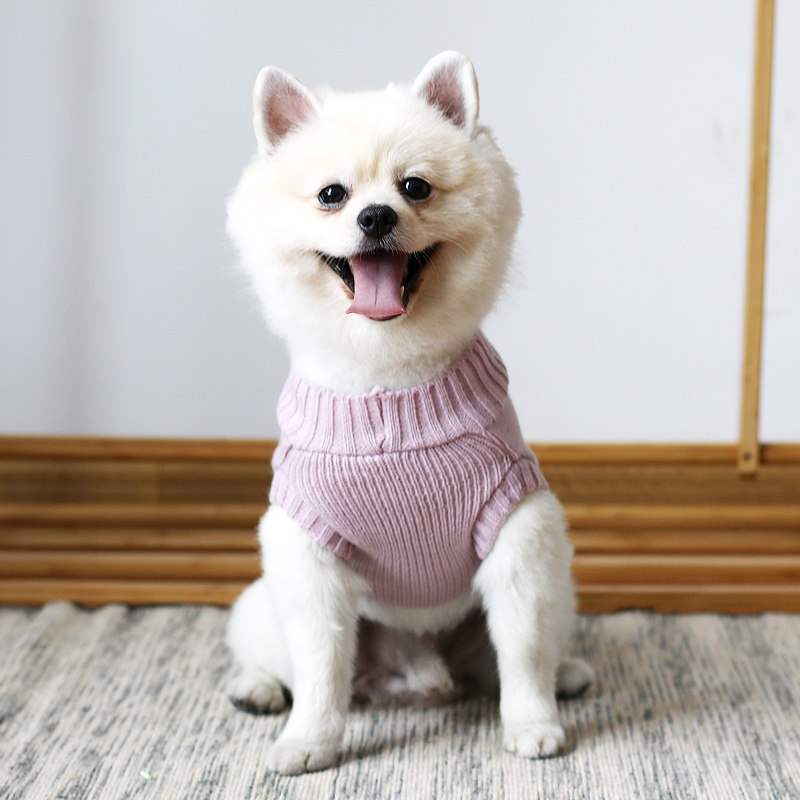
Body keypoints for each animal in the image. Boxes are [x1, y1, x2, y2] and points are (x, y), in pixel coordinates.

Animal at [225, 51, 592, 775]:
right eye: (332, 195)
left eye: (415, 187)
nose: (375, 216)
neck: (389, 393)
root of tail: (420, 669)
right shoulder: (304, 551)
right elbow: (319, 667)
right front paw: (311, 740)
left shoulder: (520, 531)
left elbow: (523, 652)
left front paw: (533, 722)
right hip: (263, 602)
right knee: (274, 657)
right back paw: (257, 690)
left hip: (556, 589)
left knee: (526, 651)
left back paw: (566, 674)